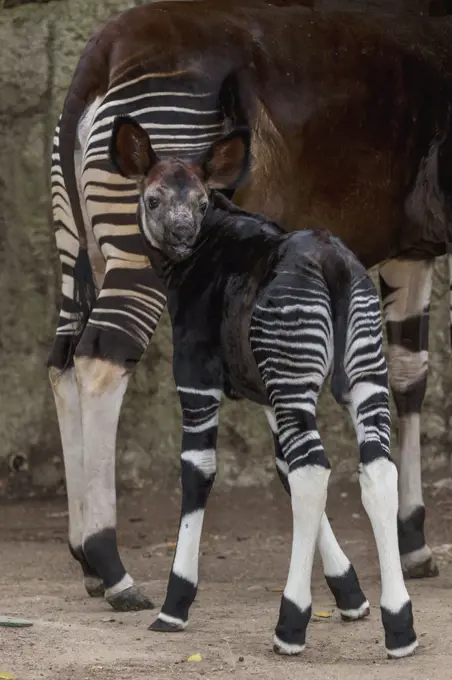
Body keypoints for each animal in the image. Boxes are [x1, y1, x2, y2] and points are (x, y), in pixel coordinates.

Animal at [108, 117, 416, 660]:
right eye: (153, 199)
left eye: (201, 202)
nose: (184, 234)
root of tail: (333, 265)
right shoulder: (270, 391)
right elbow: (281, 469)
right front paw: (351, 595)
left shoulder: (197, 378)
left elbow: (199, 472)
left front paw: (174, 605)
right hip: (360, 373)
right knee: (374, 468)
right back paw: (400, 627)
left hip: (297, 377)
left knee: (315, 469)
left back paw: (290, 625)